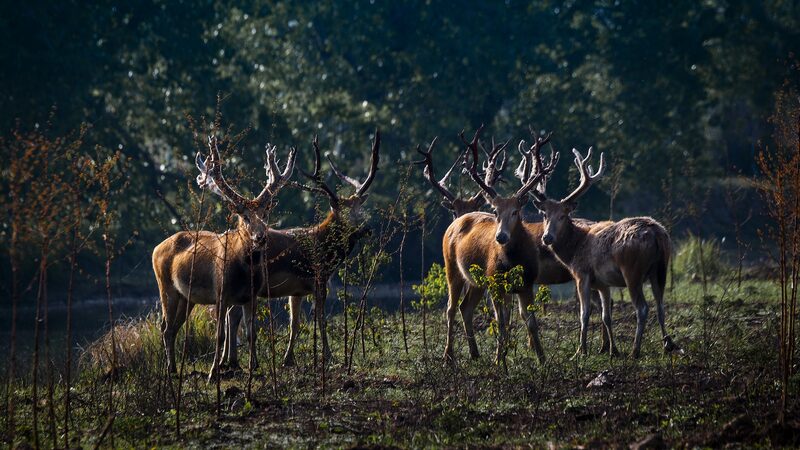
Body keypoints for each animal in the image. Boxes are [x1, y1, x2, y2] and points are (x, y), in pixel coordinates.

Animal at [151, 136, 296, 378]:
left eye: (265, 212)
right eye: (244, 216)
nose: (261, 236)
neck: (244, 273)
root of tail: (155, 249)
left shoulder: (252, 296)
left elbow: (251, 333)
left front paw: (253, 368)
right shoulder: (220, 293)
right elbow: (219, 335)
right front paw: (213, 373)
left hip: (187, 297)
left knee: (172, 327)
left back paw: (173, 368)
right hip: (166, 287)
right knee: (165, 327)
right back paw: (171, 369)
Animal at [219, 131, 380, 369]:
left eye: (360, 208)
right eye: (345, 213)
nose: (367, 228)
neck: (324, 251)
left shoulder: (296, 291)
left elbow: (295, 324)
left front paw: (288, 359)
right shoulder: (319, 279)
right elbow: (321, 319)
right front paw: (328, 356)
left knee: (231, 314)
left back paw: (229, 361)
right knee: (233, 314)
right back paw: (232, 361)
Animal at [441, 125, 559, 365]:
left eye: (516, 211)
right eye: (495, 211)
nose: (501, 237)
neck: (513, 261)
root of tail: (455, 221)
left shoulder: (527, 283)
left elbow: (530, 321)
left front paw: (541, 358)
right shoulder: (495, 281)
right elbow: (501, 322)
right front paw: (498, 359)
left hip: (477, 281)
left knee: (465, 307)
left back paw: (474, 353)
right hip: (452, 267)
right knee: (450, 308)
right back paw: (448, 356)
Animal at [530, 146, 678, 358]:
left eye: (563, 215)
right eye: (544, 214)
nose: (547, 238)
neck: (574, 250)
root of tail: (657, 233)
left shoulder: (582, 275)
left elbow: (584, 315)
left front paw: (580, 352)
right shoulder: (603, 283)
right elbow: (606, 315)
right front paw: (611, 350)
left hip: (632, 271)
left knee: (642, 308)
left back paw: (635, 350)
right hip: (660, 270)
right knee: (661, 306)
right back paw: (667, 345)